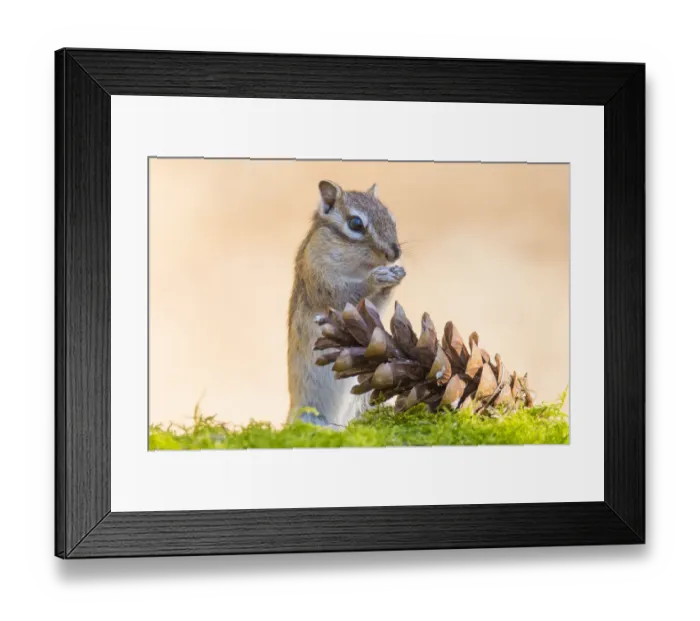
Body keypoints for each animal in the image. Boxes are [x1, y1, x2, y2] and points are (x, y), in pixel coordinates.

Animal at [287, 180, 405, 428]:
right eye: (356, 224)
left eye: (391, 218)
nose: (395, 253)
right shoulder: (321, 279)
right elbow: (347, 294)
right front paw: (376, 278)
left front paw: (395, 276)